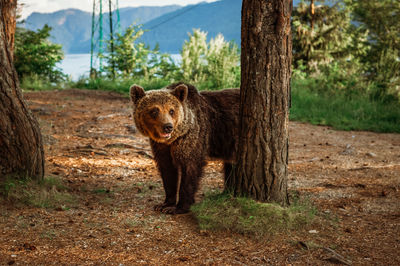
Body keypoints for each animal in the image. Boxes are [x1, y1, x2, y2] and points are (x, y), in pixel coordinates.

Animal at [130, 82, 239, 214]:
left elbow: (189, 168)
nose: (168, 126)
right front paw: (164, 204)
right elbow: (167, 170)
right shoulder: (161, 147)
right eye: (155, 110)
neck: (172, 139)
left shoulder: (191, 137)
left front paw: (179, 207)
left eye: (171, 110)